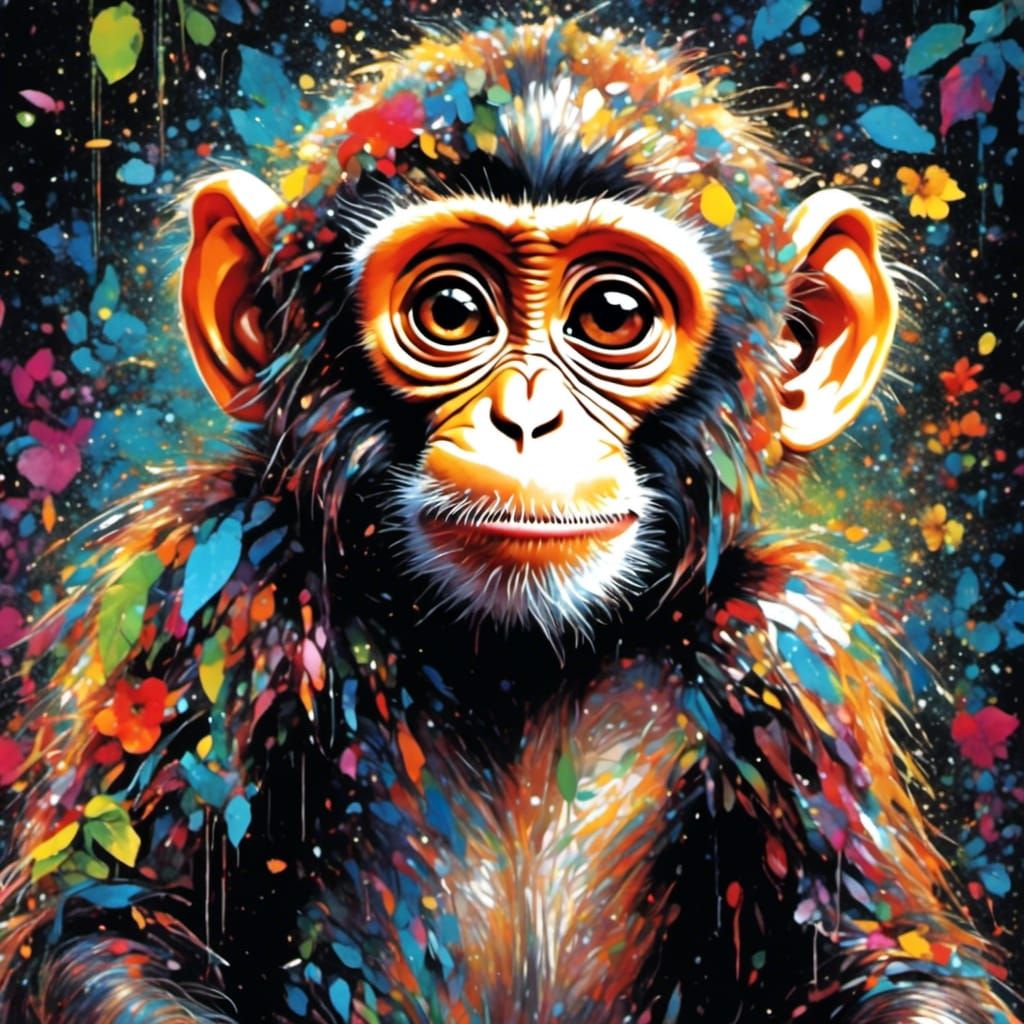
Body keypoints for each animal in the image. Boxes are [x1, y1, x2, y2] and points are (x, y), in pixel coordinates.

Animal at [0, 16, 1017, 1024]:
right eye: (452, 309)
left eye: (613, 314)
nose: (527, 419)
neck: (519, 661)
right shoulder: (215, 594)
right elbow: (114, 923)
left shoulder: (789, 661)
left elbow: (875, 954)